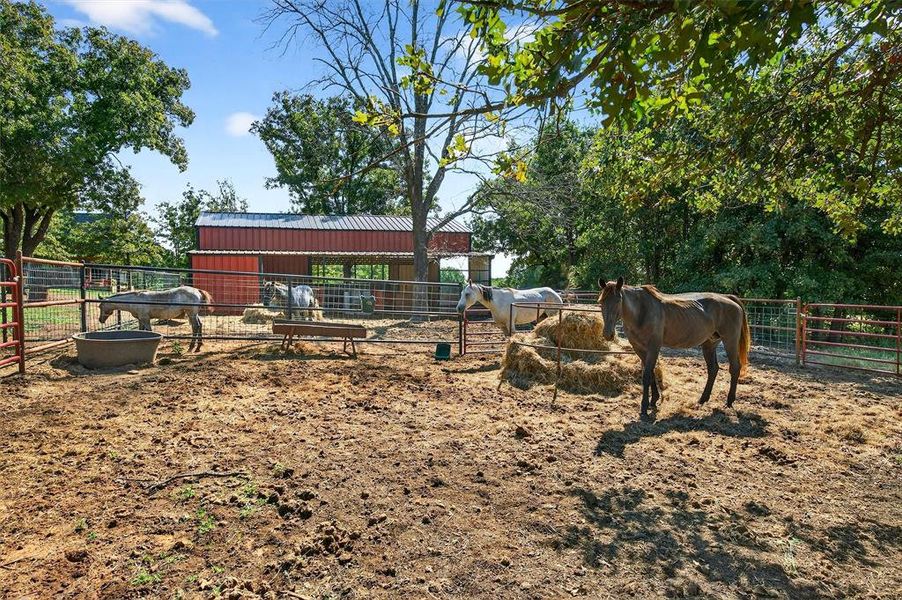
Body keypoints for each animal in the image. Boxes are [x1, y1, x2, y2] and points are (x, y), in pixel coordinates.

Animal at [598, 277, 750, 420]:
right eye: (601, 302)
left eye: (618, 300)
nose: (608, 334)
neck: (642, 311)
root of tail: (729, 298)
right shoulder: (639, 349)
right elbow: (650, 372)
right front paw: (654, 400)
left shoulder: (653, 347)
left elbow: (646, 375)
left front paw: (644, 407)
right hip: (709, 343)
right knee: (713, 369)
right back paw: (702, 400)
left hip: (730, 341)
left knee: (734, 368)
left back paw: (729, 402)